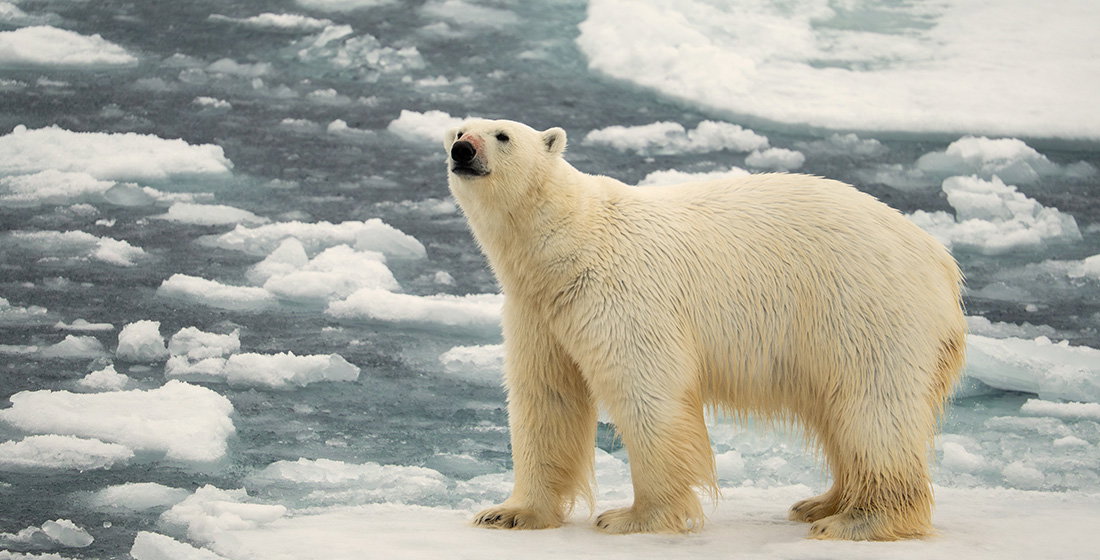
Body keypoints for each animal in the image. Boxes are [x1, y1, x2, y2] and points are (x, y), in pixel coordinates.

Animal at [443, 119, 965, 541]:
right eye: (458, 129)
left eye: (502, 135)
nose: (462, 150)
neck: (571, 242)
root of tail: (941, 263)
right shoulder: (539, 312)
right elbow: (545, 397)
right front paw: (508, 513)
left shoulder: (622, 293)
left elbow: (646, 390)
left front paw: (634, 517)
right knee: (841, 413)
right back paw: (820, 502)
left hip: (864, 309)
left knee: (872, 409)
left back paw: (858, 520)